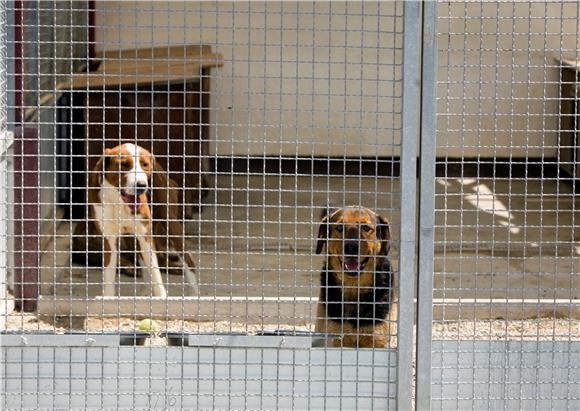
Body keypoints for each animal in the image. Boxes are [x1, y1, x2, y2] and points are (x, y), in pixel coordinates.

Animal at [71, 143, 198, 298]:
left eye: (144, 165)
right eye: (124, 165)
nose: (142, 185)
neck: (119, 203)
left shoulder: (145, 236)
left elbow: (156, 275)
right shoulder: (109, 240)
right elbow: (109, 276)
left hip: (170, 224)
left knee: (188, 261)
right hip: (132, 238)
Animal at [314, 206, 396, 348]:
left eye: (366, 228)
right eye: (339, 227)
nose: (351, 247)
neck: (354, 287)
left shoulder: (378, 341)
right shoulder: (335, 340)